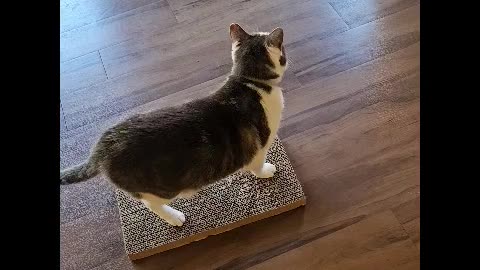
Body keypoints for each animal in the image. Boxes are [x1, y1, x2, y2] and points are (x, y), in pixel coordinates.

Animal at [58, 23, 286, 227]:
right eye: (283, 50)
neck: (249, 81)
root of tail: (102, 147)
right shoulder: (258, 148)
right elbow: (257, 165)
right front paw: (267, 170)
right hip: (162, 189)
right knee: (150, 204)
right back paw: (174, 217)